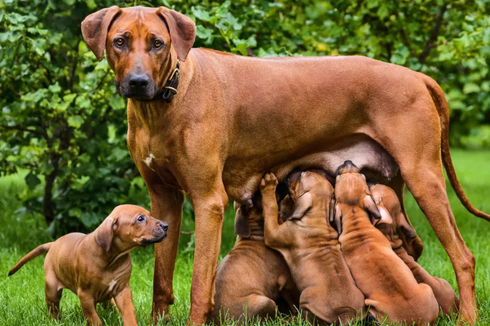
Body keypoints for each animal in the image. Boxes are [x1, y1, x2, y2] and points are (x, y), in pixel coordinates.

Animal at [7, 205, 167, 324]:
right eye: (140, 218)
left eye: (150, 214)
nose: (166, 225)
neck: (112, 259)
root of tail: (54, 243)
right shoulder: (85, 295)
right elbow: (94, 319)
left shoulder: (123, 290)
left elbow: (128, 313)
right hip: (52, 288)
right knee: (53, 308)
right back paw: (56, 321)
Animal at [258, 171, 366, 324]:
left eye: (301, 176)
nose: (291, 174)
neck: (317, 217)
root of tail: (345, 313)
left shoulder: (273, 233)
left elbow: (270, 208)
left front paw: (269, 185)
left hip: (305, 298)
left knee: (304, 318)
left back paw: (289, 319)